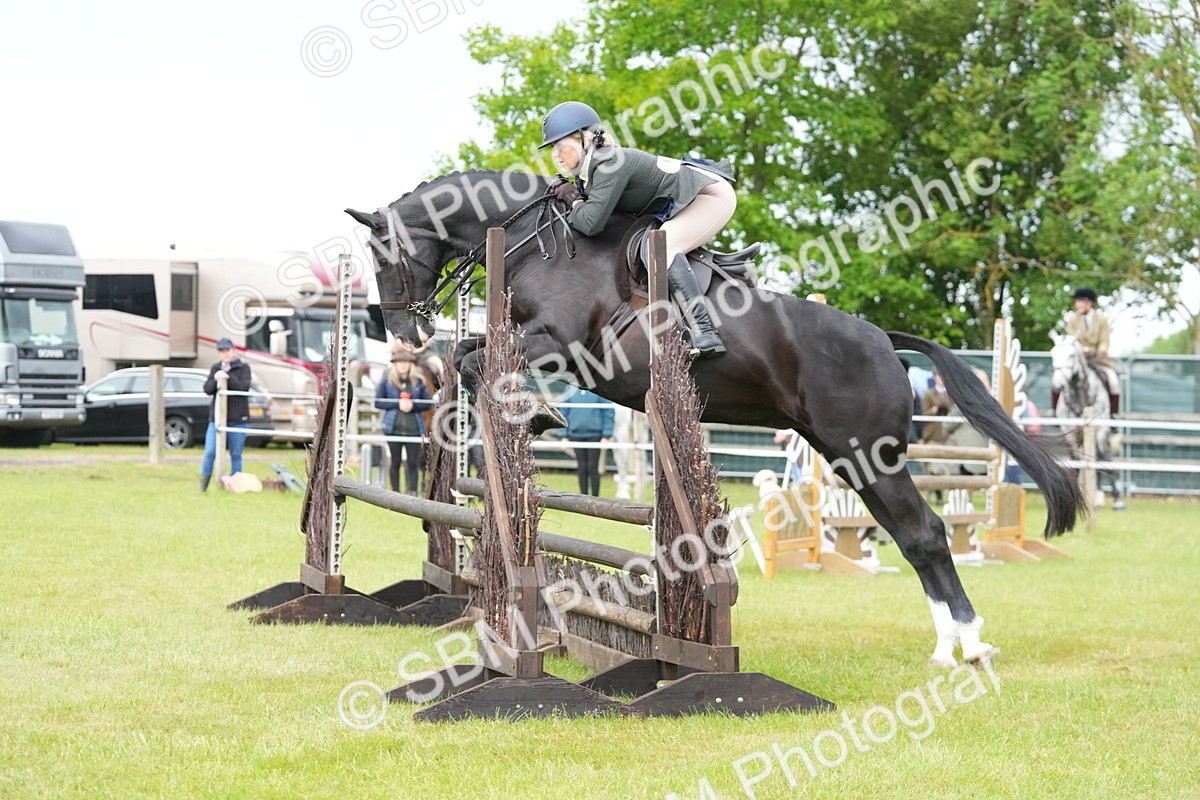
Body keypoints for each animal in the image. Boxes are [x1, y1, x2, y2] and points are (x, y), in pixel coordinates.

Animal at [346, 169, 1084, 668]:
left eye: (382, 257)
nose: (405, 334)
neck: (536, 241)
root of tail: (884, 340)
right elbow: (468, 357)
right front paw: (529, 411)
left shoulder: (567, 343)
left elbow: (481, 362)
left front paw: (538, 412)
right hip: (850, 457)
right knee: (912, 537)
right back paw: (948, 647)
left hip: (866, 450)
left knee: (927, 534)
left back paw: (973, 644)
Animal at [1050, 333, 1126, 510]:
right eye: (1053, 354)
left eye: (1071, 355)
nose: (1057, 385)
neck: (1080, 394)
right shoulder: (1069, 434)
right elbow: (1076, 465)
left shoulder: (1101, 431)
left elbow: (1106, 463)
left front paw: (1118, 500)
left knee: (1100, 460)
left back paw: (1099, 497)